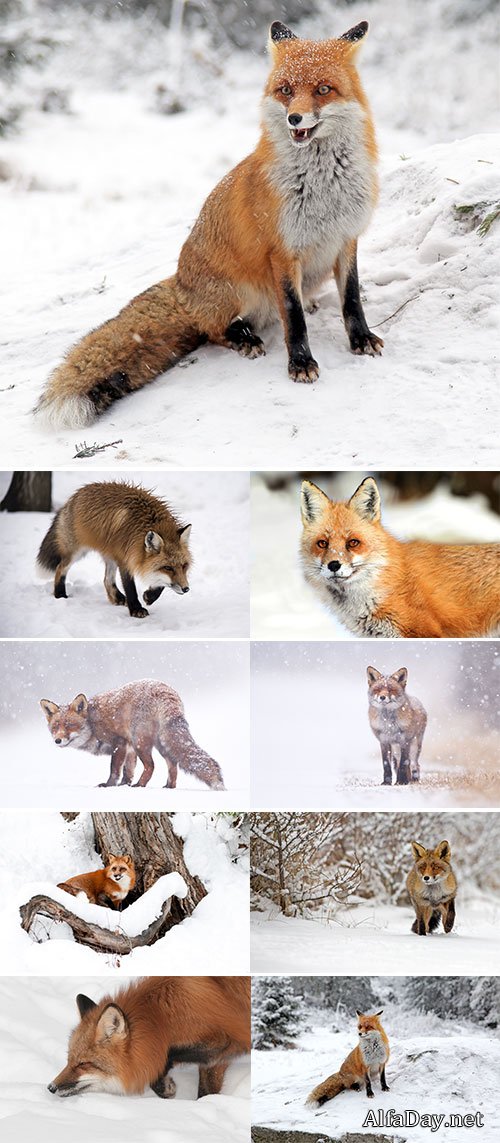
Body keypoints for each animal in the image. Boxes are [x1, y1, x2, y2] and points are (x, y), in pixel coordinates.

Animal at [34, 19, 382, 430]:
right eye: (285, 90)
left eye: (323, 90)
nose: (294, 118)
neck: (324, 188)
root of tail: (180, 284)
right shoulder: (282, 253)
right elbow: (293, 318)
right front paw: (300, 363)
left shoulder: (346, 238)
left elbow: (352, 300)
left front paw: (361, 339)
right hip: (239, 292)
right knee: (213, 330)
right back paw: (243, 337)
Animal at [36, 481, 192, 619]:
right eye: (168, 568)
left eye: (184, 566)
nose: (186, 589)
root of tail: (76, 494)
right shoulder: (126, 558)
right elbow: (130, 587)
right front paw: (136, 609)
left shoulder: (133, 558)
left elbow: (161, 583)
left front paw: (149, 596)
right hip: (77, 552)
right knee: (60, 568)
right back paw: (60, 594)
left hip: (110, 555)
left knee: (106, 579)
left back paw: (117, 598)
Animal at [40, 679, 225, 790]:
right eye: (55, 727)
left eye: (70, 725)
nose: (57, 740)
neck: (92, 723)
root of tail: (166, 691)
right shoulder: (129, 749)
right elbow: (128, 770)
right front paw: (124, 785)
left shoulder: (120, 743)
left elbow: (115, 769)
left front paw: (109, 786)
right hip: (161, 744)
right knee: (173, 765)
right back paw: (168, 787)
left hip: (141, 742)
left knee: (151, 766)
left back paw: (140, 785)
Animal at [48, 976, 250, 1099]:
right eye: (69, 1061)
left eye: (83, 1064)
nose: (51, 1087)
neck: (163, 1016)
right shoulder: (216, 1060)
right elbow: (207, 1091)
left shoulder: (229, 1040)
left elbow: (168, 1055)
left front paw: (164, 1085)